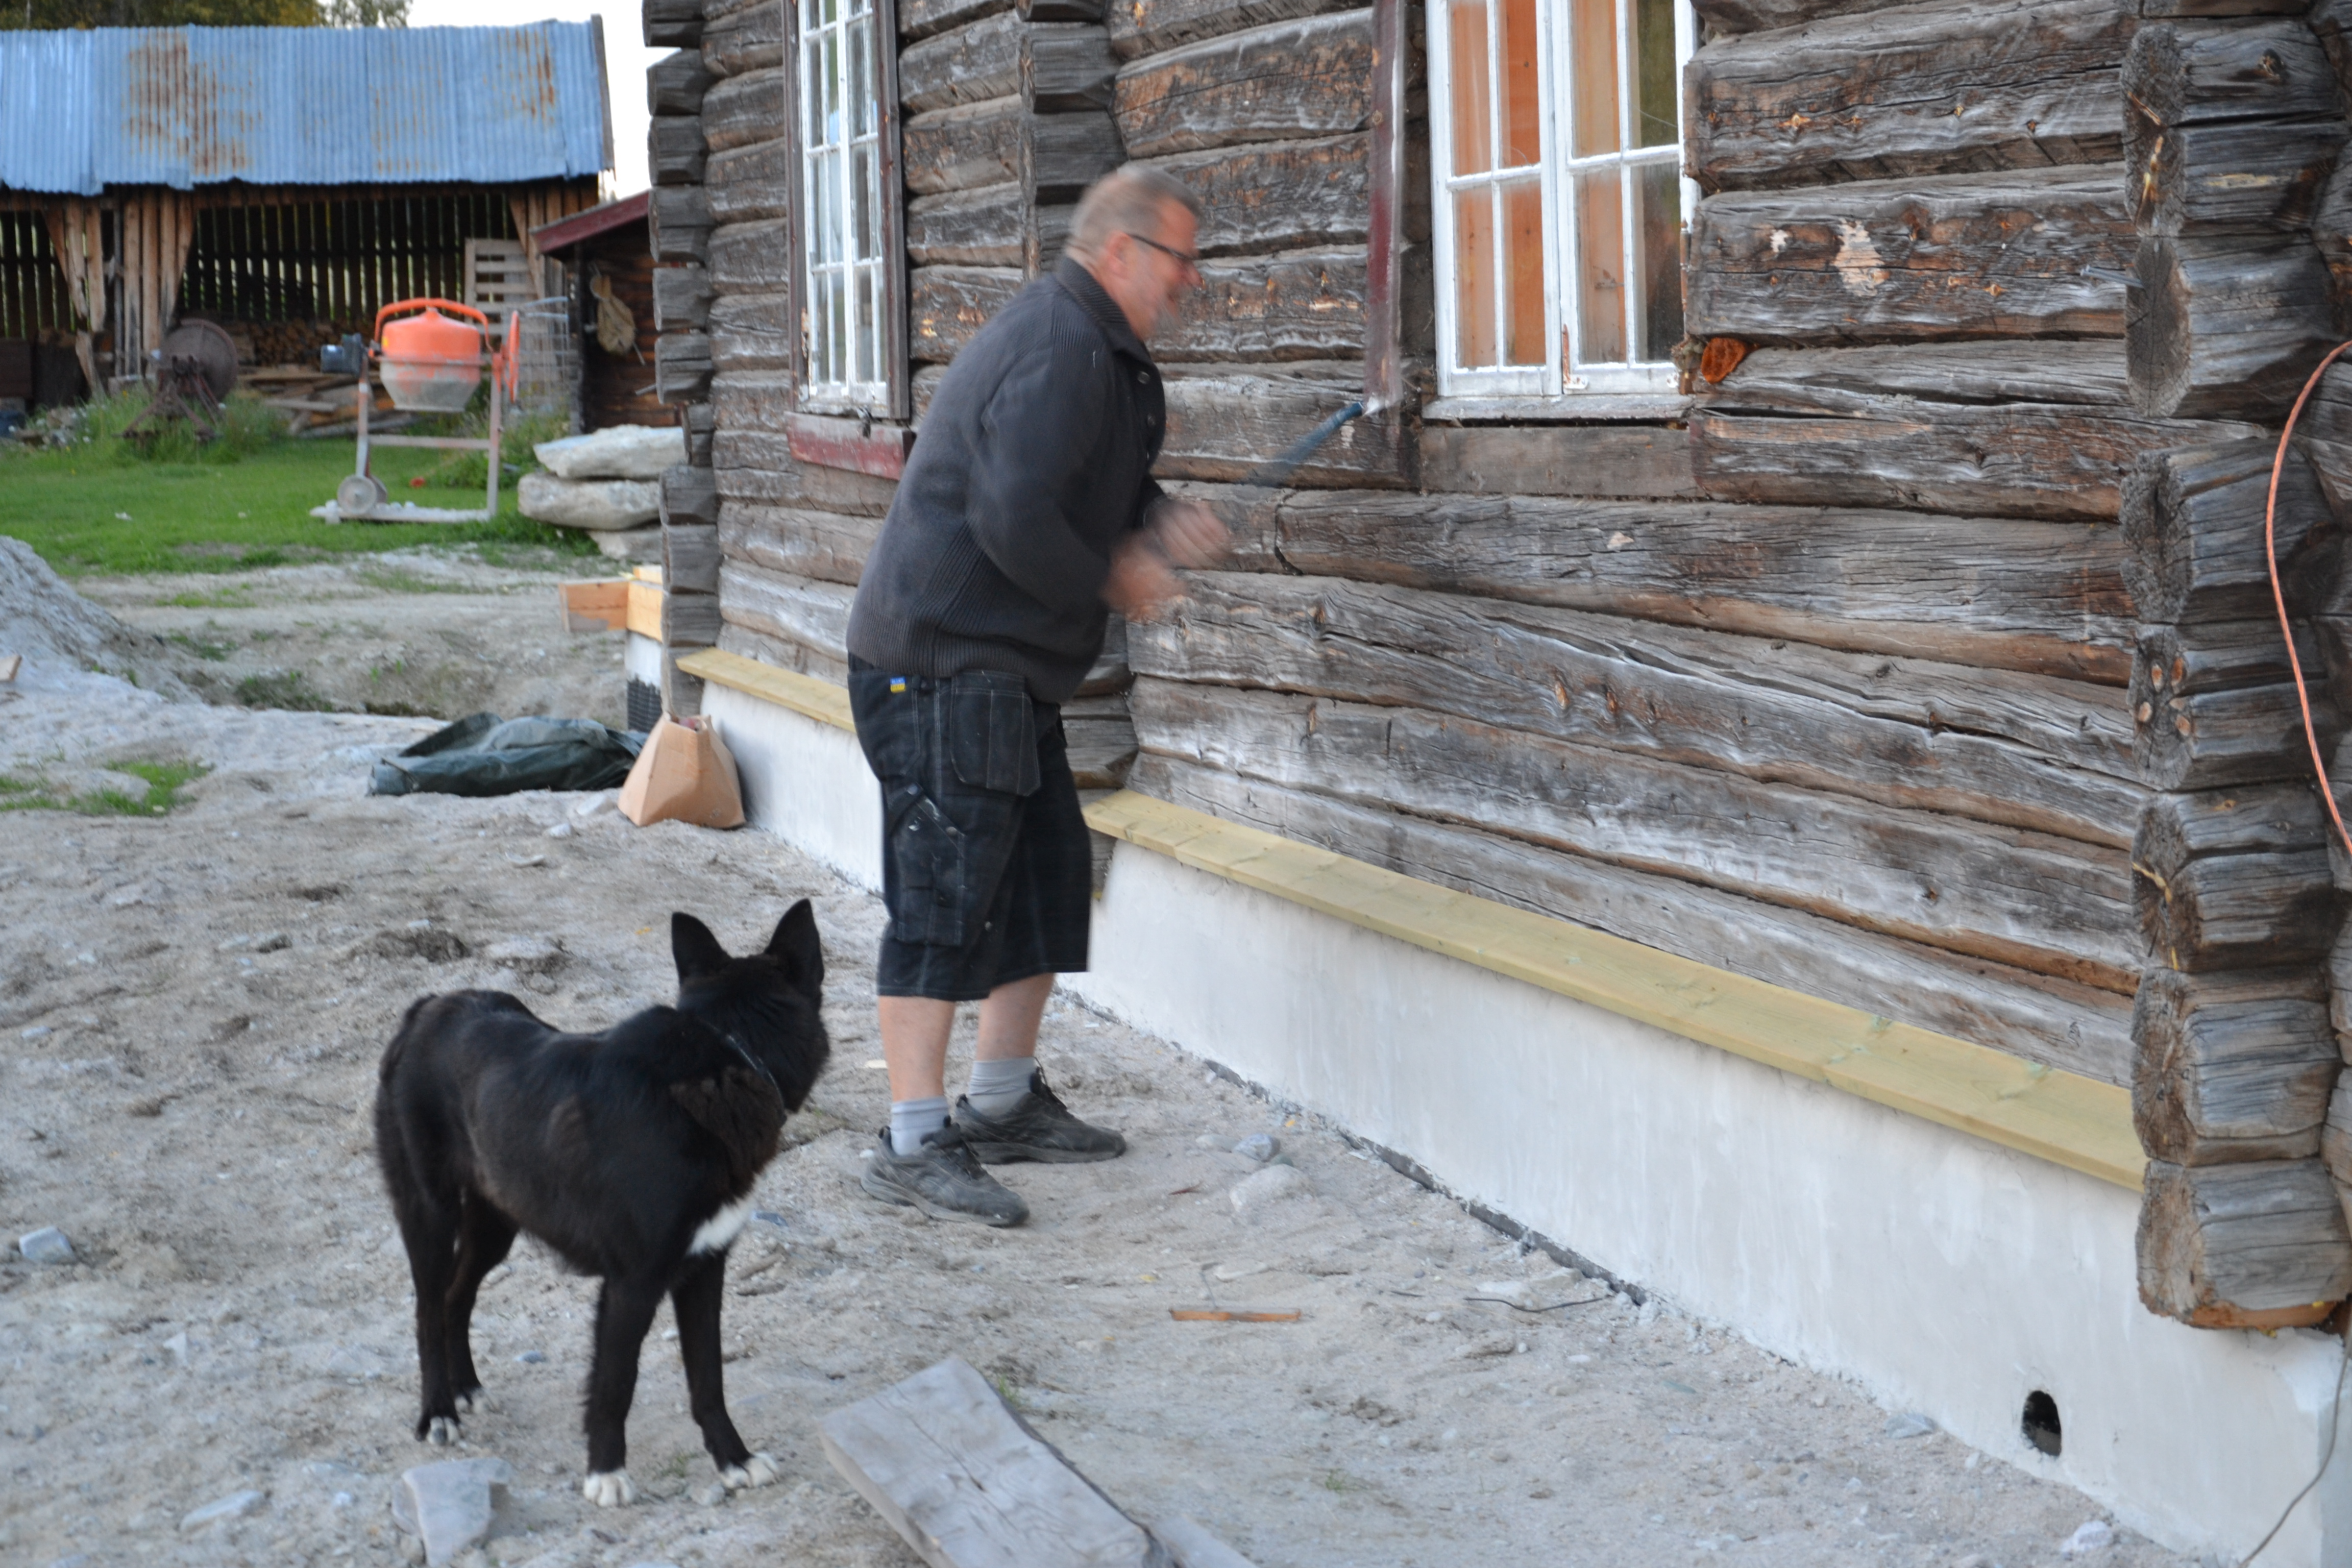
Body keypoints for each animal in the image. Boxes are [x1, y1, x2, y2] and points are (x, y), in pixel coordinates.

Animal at [374, 902, 830, 1506]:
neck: (728, 1054)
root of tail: (426, 1008)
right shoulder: (631, 1285)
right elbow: (616, 1383)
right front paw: (606, 1472)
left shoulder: (704, 1269)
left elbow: (709, 1378)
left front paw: (734, 1459)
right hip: (430, 1212)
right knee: (428, 1309)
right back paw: (439, 1412)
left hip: (498, 1221)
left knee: (456, 1297)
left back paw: (466, 1385)